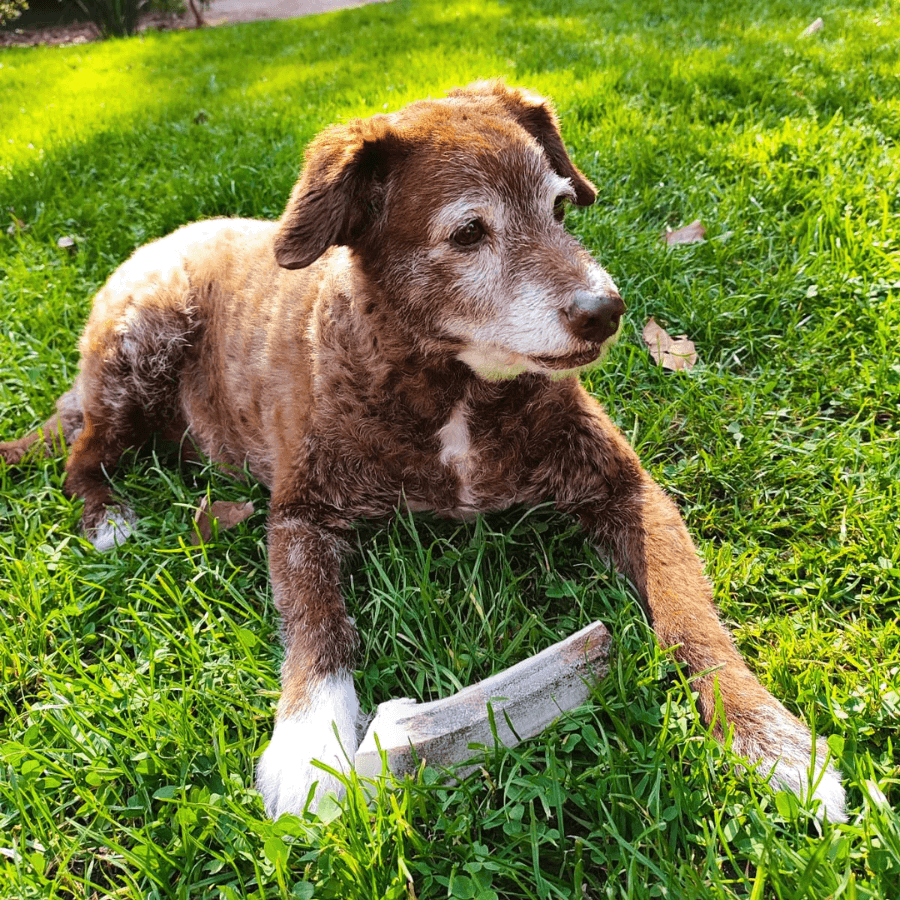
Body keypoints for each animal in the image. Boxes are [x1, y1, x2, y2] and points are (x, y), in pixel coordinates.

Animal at [0, 79, 844, 824]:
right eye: (468, 233)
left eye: (559, 208)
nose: (606, 310)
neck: (452, 388)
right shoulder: (302, 515)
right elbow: (320, 624)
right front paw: (309, 743)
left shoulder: (625, 489)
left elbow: (688, 615)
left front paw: (770, 740)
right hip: (143, 342)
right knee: (81, 454)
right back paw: (107, 515)